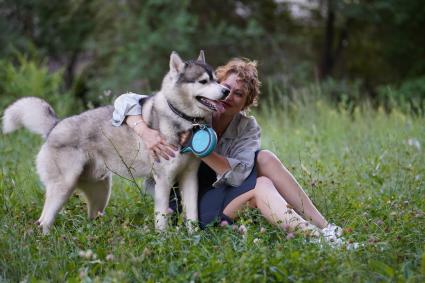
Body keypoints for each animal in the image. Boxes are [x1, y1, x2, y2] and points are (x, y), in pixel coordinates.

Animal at [2, 52, 229, 234]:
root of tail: (55, 126)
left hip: (101, 193)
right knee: (43, 222)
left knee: (90, 218)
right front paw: (164, 241)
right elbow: (162, 219)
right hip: (63, 188)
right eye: (203, 81)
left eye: (216, 79)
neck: (185, 121)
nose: (226, 90)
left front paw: (193, 238)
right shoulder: (163, 181)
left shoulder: (189, 178)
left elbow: (192, 215)